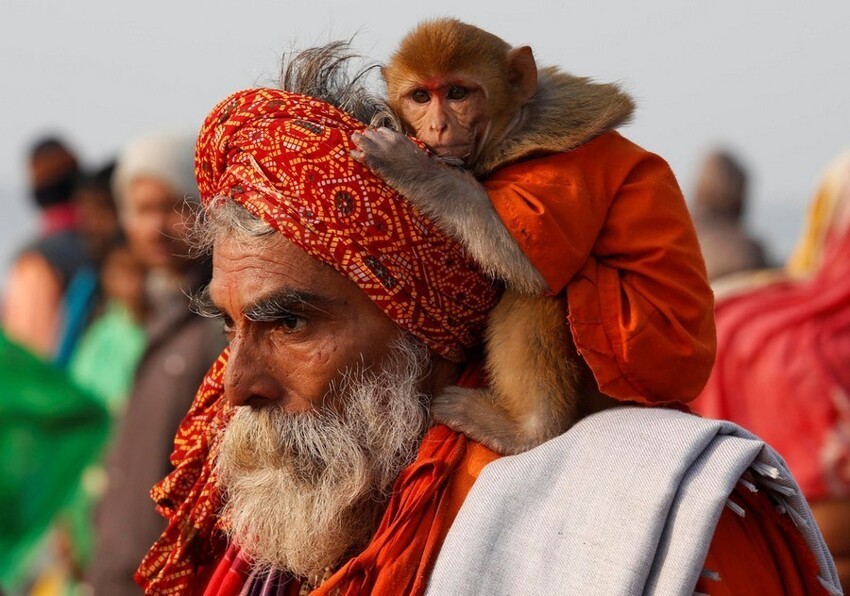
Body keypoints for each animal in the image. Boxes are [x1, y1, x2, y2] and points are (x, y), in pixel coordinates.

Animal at [348, 19, 712, 456]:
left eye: (457, 93)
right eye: (420, 96)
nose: (438, 126)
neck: (513, 127)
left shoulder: (569, 174)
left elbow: (524, 263)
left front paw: (410, 165)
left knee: (543, 292)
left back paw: (526, 430)